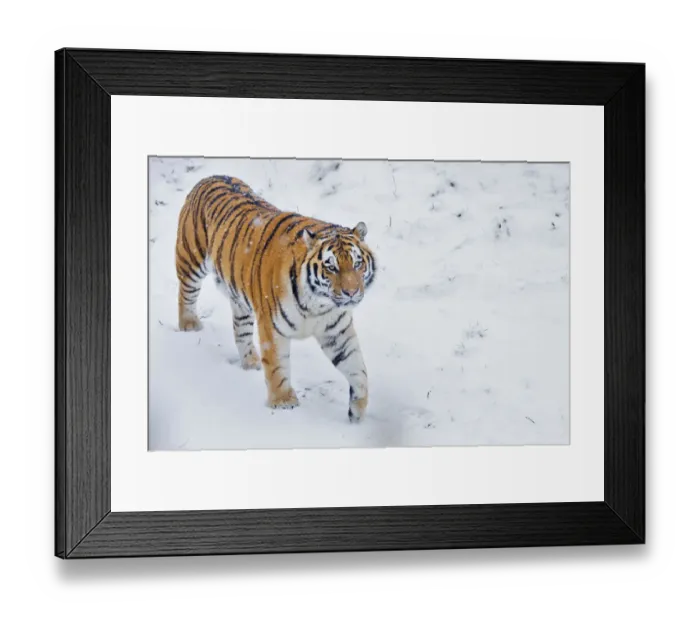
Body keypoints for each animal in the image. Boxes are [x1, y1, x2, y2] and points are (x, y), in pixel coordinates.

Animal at [175, 175, 376, 422]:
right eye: (331, 267)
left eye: (357, 263)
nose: (351, 292)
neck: (318, 304)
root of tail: (209, 177)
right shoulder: (272, 326)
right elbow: (277, 366)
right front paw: (283, 402)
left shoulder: (336, 332)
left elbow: (358, 369)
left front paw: (357, 412)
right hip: (190, 259)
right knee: (186, 294)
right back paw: (189, 324)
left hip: (240, 299)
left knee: (241, 329)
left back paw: (250, 361)